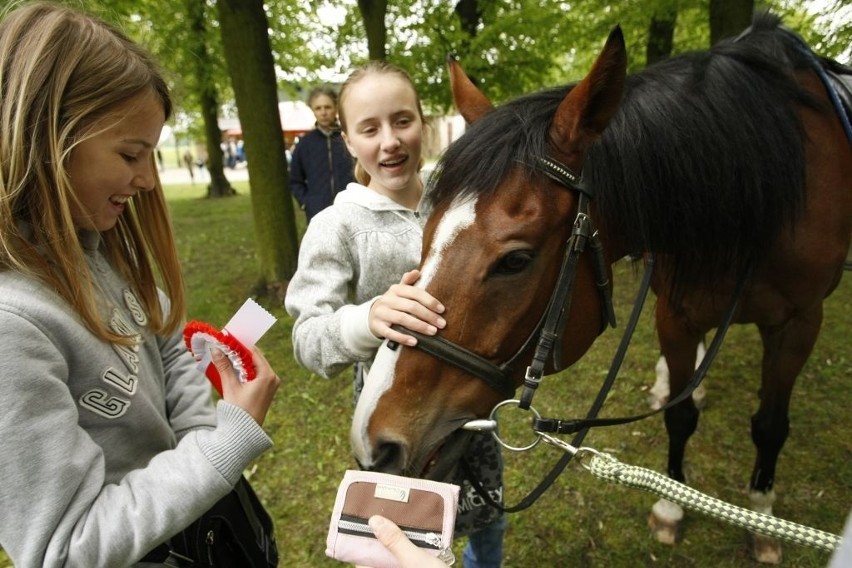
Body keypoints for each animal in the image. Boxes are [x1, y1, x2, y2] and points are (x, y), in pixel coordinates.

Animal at [350, 13, 848, 564]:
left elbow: (770, 426)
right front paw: (673, 504)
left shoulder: (799, 322)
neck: (756, 189)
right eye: (425, 230)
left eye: (516, 260)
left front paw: (761, 517)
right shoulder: (676, 313)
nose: (376, 442)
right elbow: (681, 416)